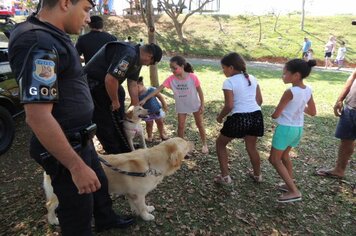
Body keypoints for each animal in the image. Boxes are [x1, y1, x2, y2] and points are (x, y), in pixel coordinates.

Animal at [44, 136, 195, 223]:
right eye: (186, 144)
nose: (192, 142)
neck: (151, 164)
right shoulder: (139, 194)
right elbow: (141, 206)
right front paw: (146, 216)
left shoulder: (132, 193)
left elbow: (137, 205)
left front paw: (142, 210)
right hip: (60, 195)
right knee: (49, 205)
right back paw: (53, 220)